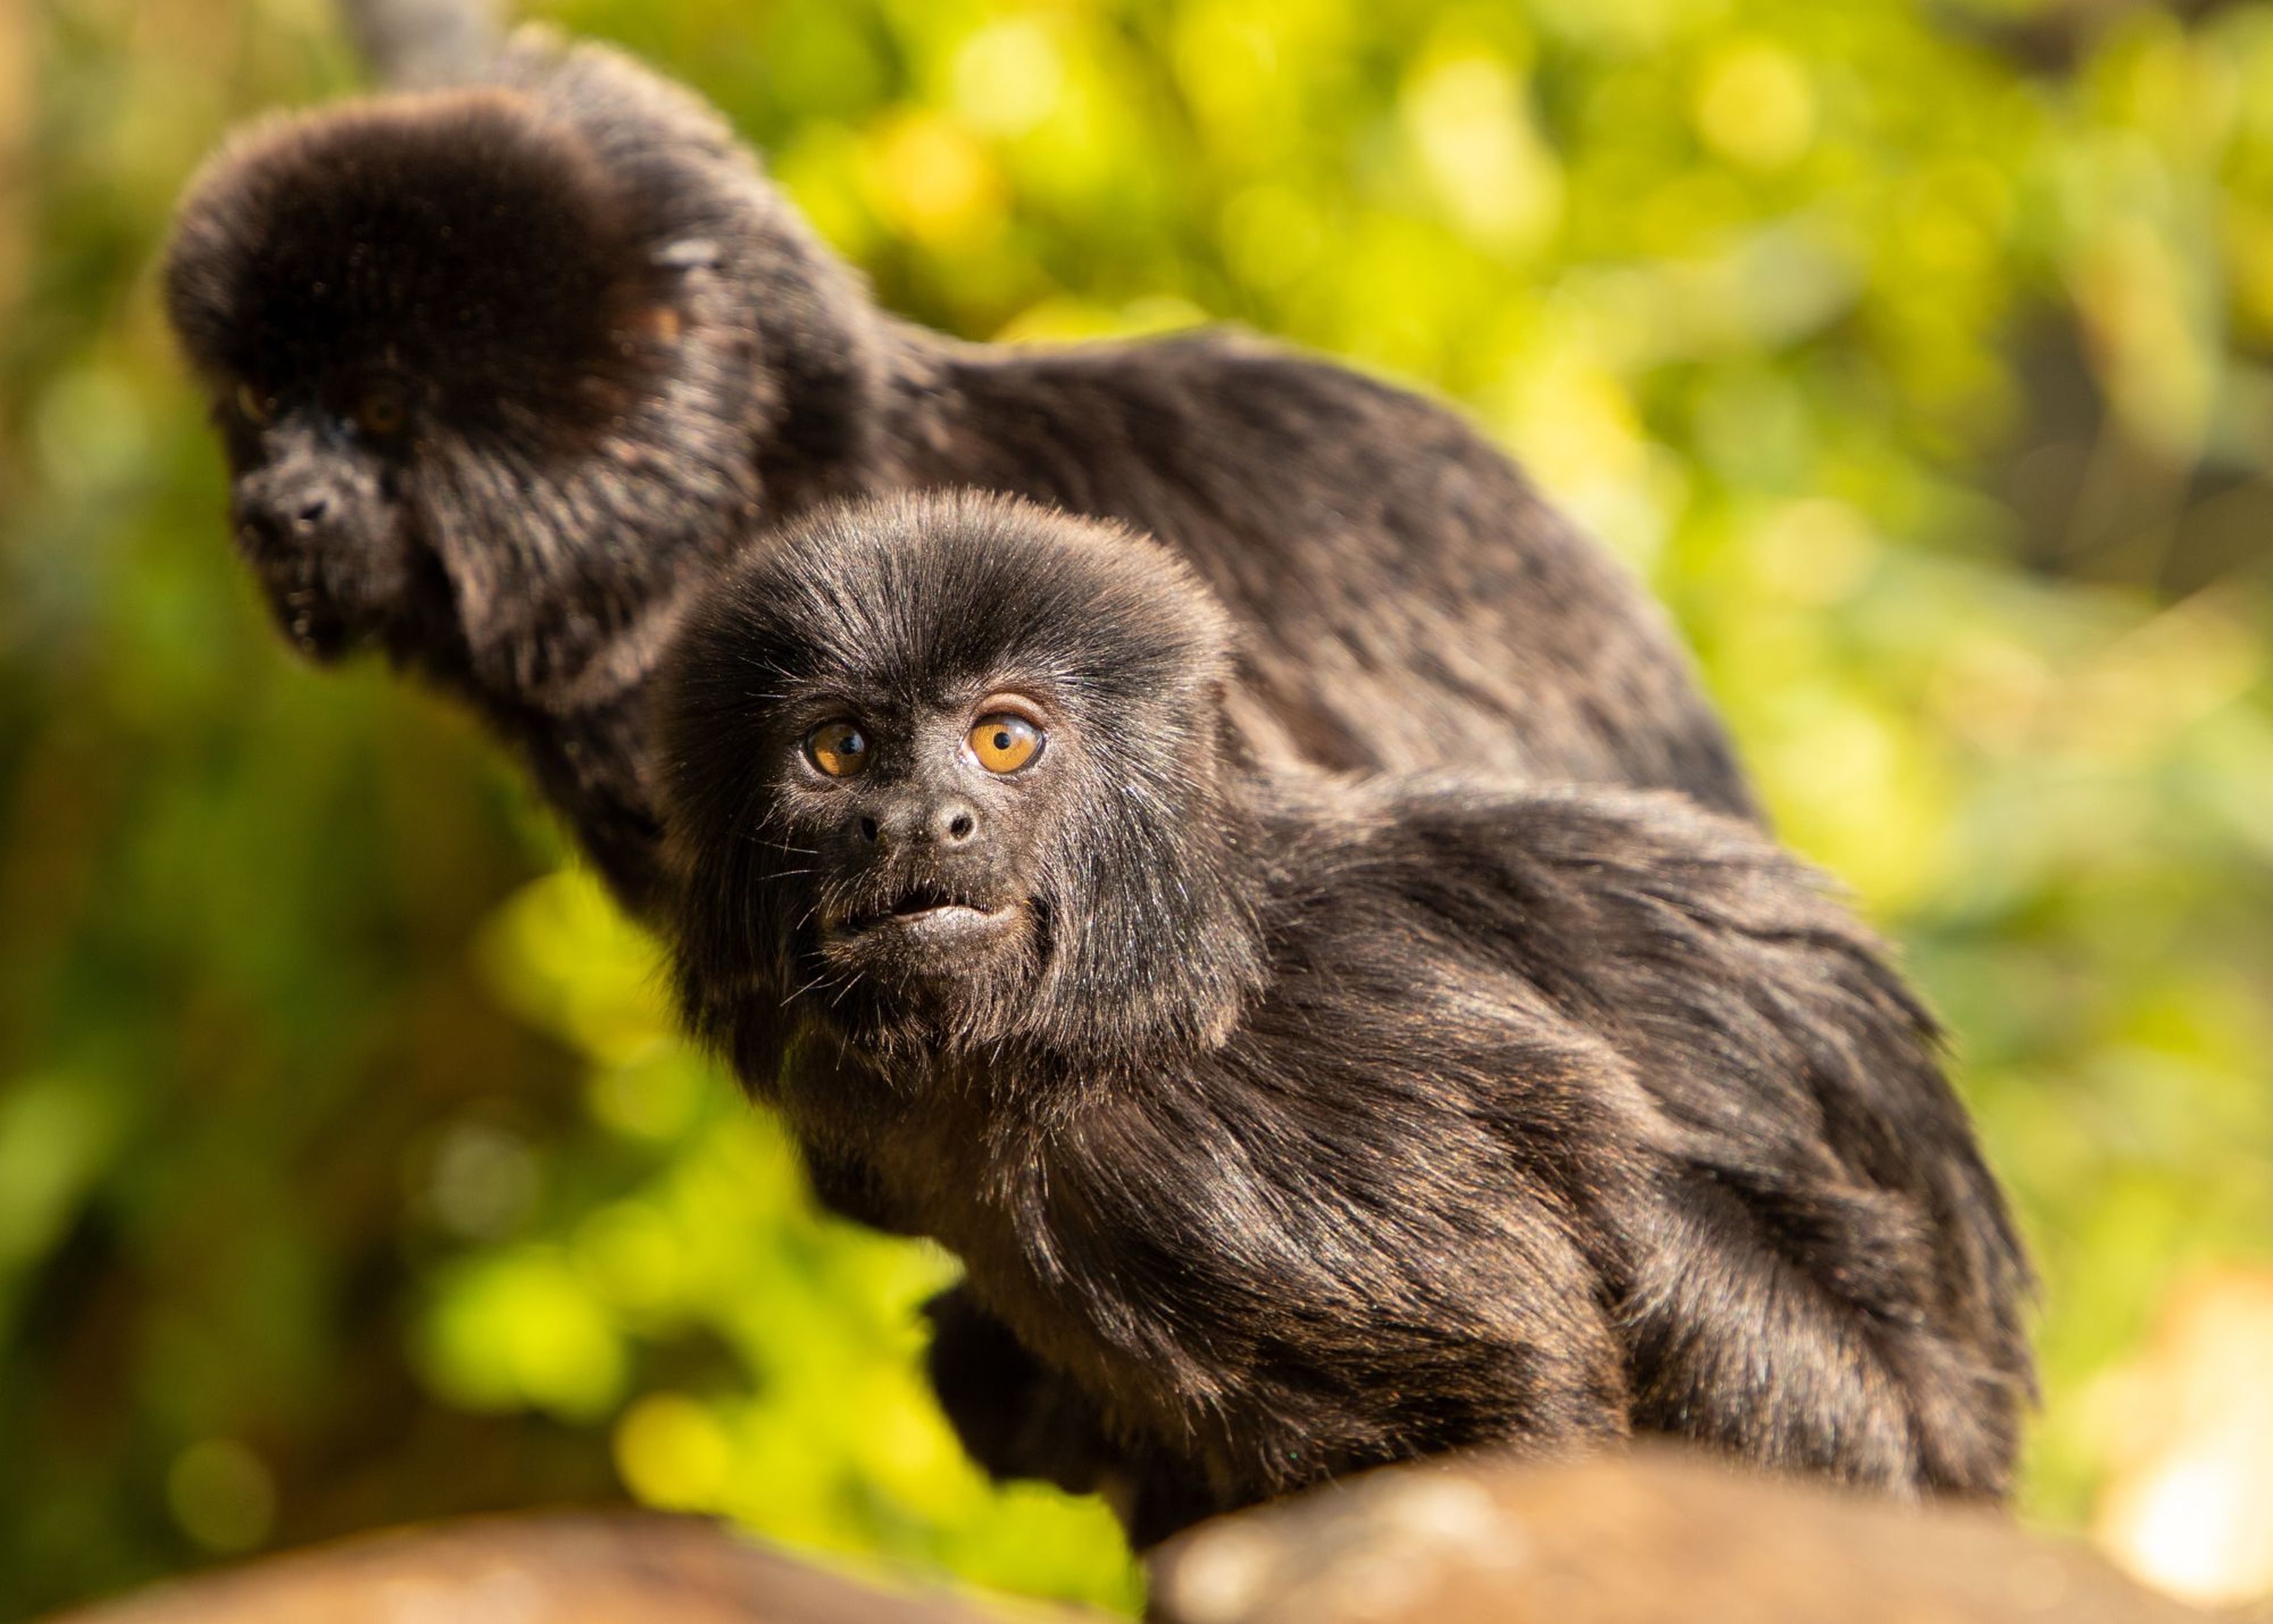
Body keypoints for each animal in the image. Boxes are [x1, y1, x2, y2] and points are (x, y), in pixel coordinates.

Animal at [651, 490, 2035, 1548]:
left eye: (1002, 740)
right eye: (839, 749)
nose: (921, 824)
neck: (1150, 1013)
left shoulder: (1311, 1134)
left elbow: (1518, 1388)